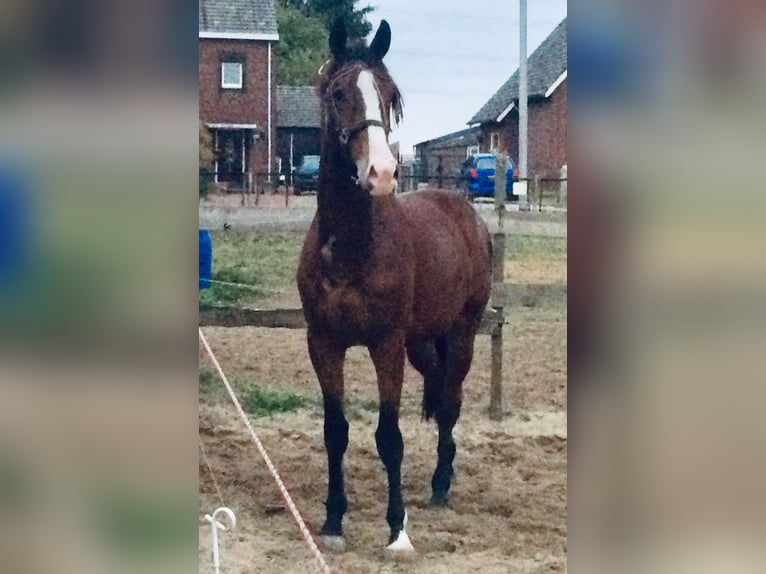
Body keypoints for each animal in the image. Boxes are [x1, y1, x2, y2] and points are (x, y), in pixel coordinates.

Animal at [296, 19, 496, 560]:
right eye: (339, 92)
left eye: (390, 95)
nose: (383, 173)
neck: (352, 247)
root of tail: (466, 211)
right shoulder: (324, 343)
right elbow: (335, 431)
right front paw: (333, 521)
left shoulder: (384, 346)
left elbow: (390, 437)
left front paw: (396, 529)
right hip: (420, 343)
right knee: (440, 391)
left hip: (462, 334)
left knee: (450, 402)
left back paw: (441, 486)